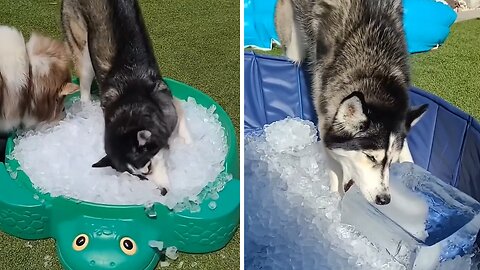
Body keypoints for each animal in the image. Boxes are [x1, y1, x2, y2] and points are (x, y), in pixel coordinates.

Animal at [62, 0, 191, 194]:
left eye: (148, 168)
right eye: (140, 177)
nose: (162, 192)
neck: (130, 102)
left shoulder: (168, 103)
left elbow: (182, 120)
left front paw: (190, 146)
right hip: (82, 48)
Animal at [276, 0, 430, 205]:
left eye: (391, 162)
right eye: (370, 157)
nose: (384, 199)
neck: (376, 72)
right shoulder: (325, 120)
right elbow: (334, 170)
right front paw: (333, 205)